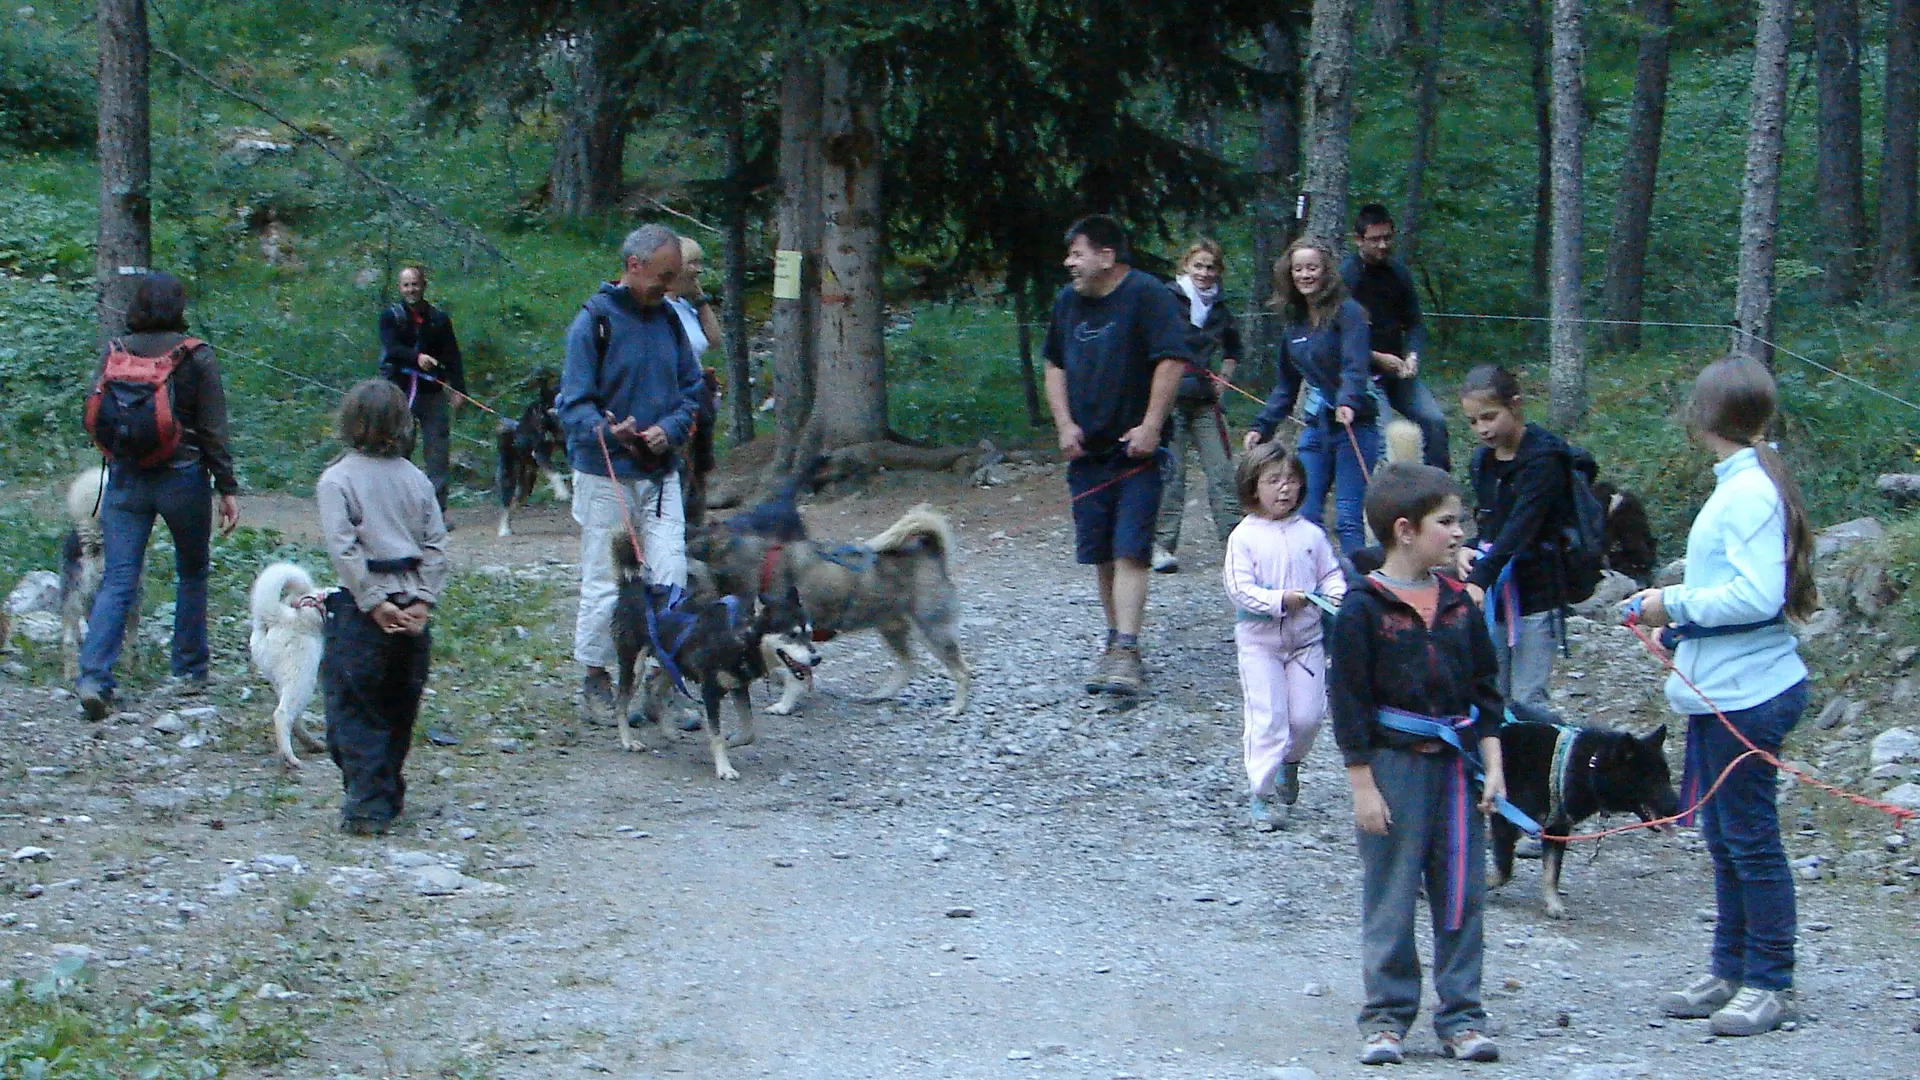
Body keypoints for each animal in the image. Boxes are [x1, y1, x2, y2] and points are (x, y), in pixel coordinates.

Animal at [247, 564, 330, 764]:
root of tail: (276, 617)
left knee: (295, 719)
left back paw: (313, 745)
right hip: (303, 678)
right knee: (283, 715)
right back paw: (290, 758)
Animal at [491, 372, 564, 534]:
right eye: (557, 402)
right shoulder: (540, 452)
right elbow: (554, 474)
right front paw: (562, 492)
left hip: (527, 483)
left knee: (515, 502)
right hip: (509, 478)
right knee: (506, 504)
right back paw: (504, 529)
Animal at [606, 530, 817, 772]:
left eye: (809, 633)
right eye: (792, 635)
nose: (816, 658)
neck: (738, 634)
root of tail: (634, 585)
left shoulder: (739, 687)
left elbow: (749, 732)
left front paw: (732, 741)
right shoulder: (710, 691)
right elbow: (716, 734)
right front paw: (724, 768)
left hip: (672, 665)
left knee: (655, 690)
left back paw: (667, 731)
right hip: (634, 667)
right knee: (620, 704)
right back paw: (628, 741)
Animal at [1489, 699, 1674, 914]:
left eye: (1667, 778)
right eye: (1652, 781)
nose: (1677, 806)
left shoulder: (1557, 829)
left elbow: (1552, 871)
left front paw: (1554, 904)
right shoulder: (1504, 819)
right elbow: (1504, 870)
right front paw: (1486, 882)